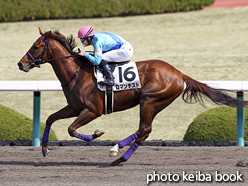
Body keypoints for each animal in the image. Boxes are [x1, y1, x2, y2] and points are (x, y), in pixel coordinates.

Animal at [17, 28, 248, 166]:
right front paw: (44, 149)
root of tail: (179, 74)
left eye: (37, 46)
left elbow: (71, 130)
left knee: (144, 129)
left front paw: (97, 134)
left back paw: (116, 150)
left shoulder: (92, 110)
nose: (20, 64)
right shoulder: (74, 108)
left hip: (149, 99)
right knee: (144, 131)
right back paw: (119, 156)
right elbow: (50, 119)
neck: (77, 72)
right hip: (154, 103)